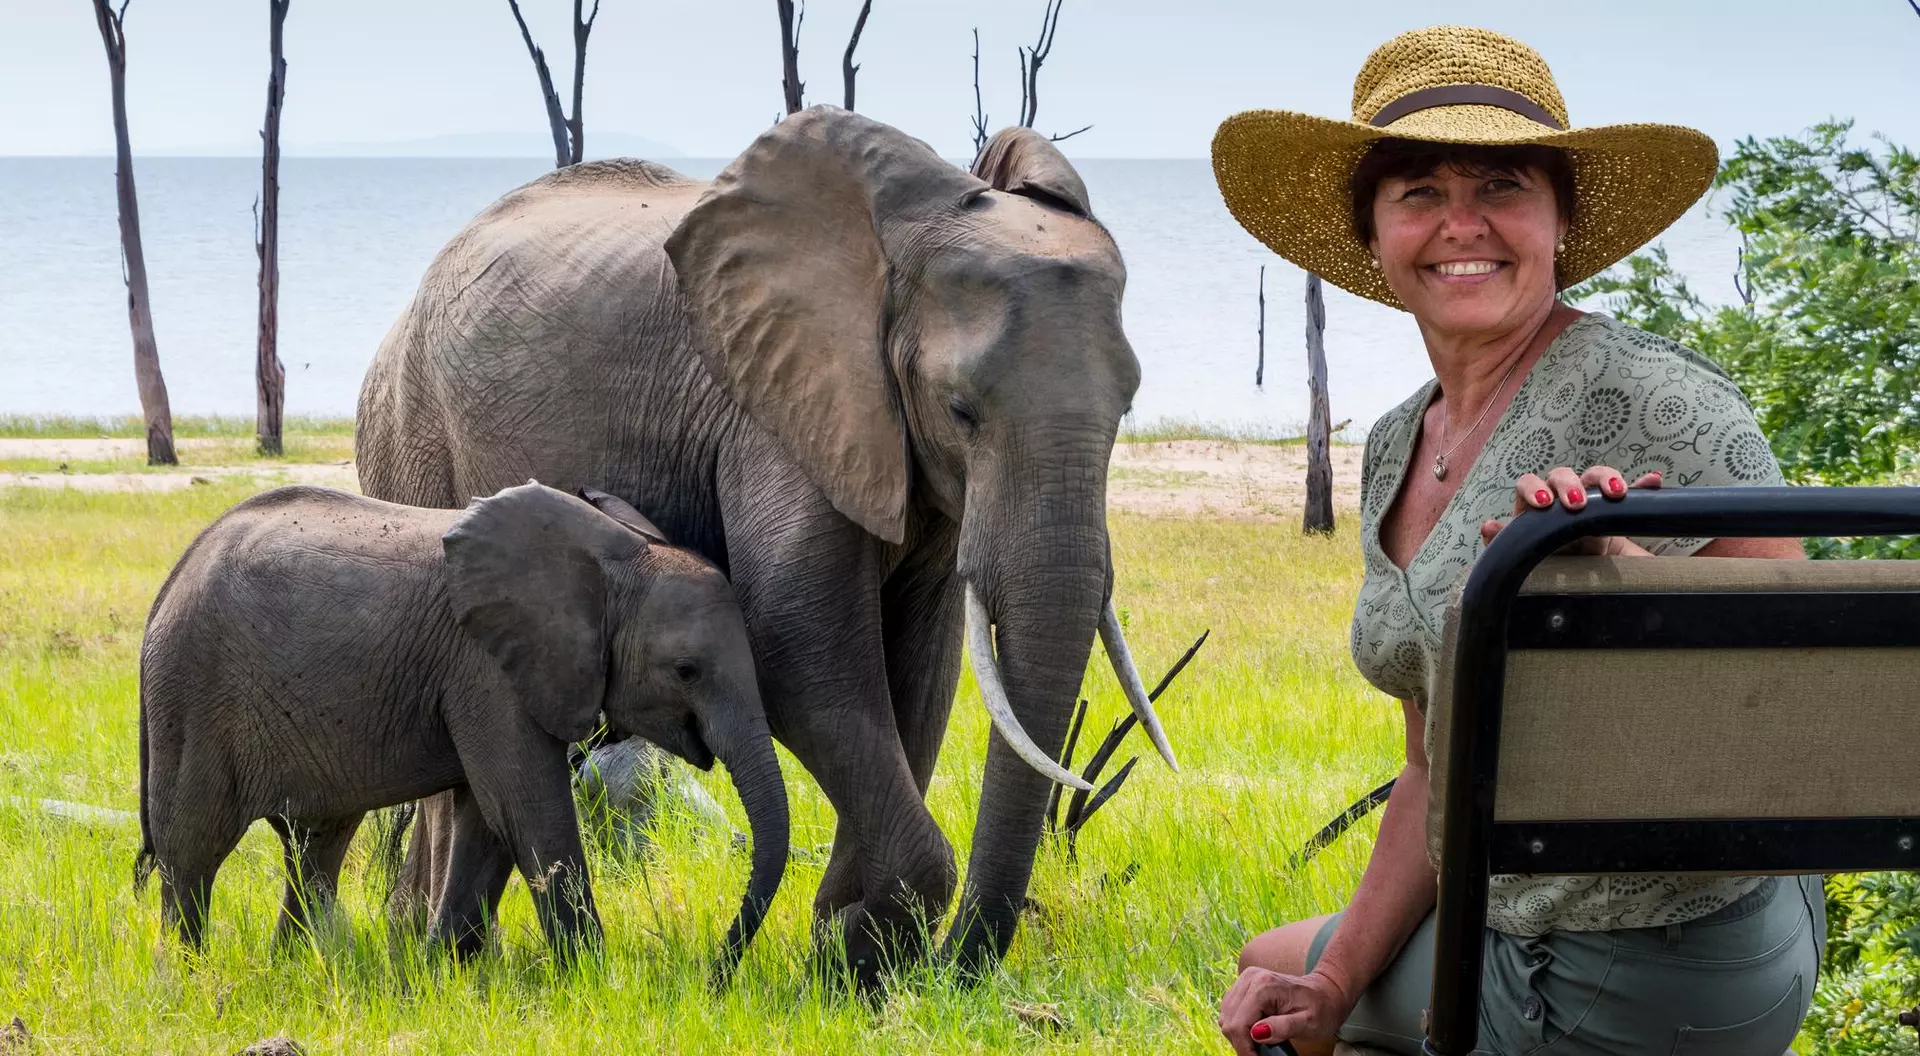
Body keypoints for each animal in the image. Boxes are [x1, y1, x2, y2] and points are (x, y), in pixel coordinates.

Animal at [135, 482, 788, 975]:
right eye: (686, 670)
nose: (714, 973)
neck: (617, 557)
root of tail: (169, 583)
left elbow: (488, 820)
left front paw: (438, 974)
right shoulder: (487, 669)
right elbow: (527, 808)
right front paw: (597, 980)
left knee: (317, 847)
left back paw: (293, 968)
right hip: (193, 695)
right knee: (192, 850)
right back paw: (189, 977)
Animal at [355, 106, 1173, 984]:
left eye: (1128, 406)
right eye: (960, 409)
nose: (955, 970)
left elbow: (922, 670)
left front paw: (851, 957)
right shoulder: (770, 407)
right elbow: (797, 644)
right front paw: (861, 958)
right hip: (409, 435)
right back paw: (437, 963)